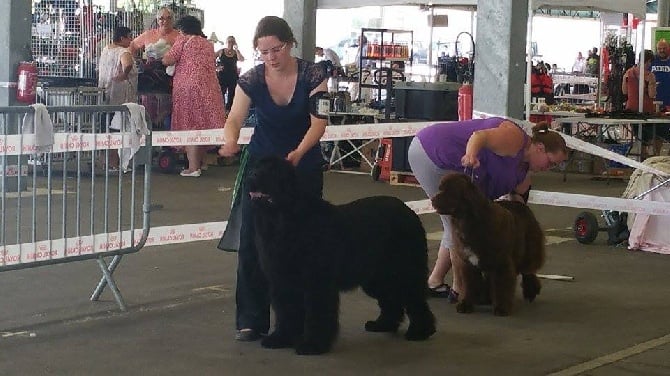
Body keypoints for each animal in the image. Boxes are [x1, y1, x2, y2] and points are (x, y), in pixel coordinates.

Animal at [245, 156, 436, 356]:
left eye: (272, 169)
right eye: (255, 165)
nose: (251, 175)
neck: (281, 218)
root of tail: (408, 210)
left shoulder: (317, 282)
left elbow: (318, 314)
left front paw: (312, 345)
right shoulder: (281, 280)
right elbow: (286, 311)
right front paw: (281, 338)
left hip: (406, 270)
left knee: (415, 299)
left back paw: (420, 331)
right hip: (378, 277)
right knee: (392, 299)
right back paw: (383, 325)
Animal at [434, 172, 548, 316]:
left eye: (449, 191)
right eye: (440, 188)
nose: (433, 199)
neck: (468, 220)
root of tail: (521, 204)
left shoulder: (501, 263)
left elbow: (502, 286)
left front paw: (501, 308)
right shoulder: (468, 263)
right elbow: (469, 285)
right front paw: (466, 305)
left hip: (528, 249)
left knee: (528, 270)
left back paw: (531, 292)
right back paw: (485, 299)